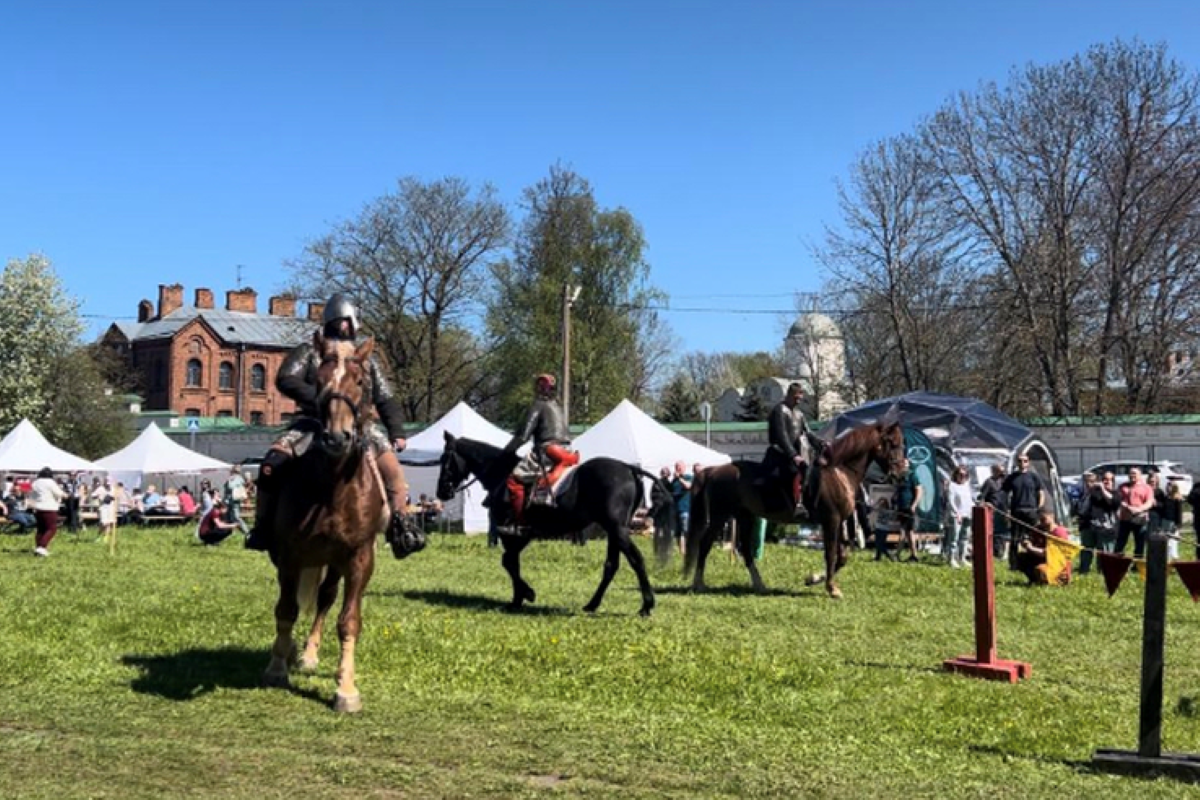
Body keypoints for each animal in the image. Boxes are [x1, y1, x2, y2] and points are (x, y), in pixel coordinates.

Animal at [261, 331, 388, 714]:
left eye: (360, 381)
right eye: (318, 381)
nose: (336, 437)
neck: (333, 488)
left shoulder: (359, 557)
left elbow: (348, 621)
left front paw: (346, 688)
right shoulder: (290, 555)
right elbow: (286, 609)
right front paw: (276, 667)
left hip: (333, 563)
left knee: (325, 599)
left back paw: (309, 654)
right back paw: (291, 652)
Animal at [436, 434, 672, 618]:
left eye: (445, 459)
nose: (441, 492)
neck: (501, 474)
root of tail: (629, 468)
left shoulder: (512, 534)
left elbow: (508, 562)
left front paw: (524, 595)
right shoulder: (522, 536)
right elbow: (512, 562)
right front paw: (519, 597)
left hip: (617, 530)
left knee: (636, 560)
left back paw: (646, 605)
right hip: (614, 531)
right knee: (611, 566)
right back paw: (592, 604)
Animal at [686, 422, 902, 597]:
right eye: (893, 443)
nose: (901, 471)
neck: (839, 472)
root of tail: (712, 470)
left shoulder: (839, 522)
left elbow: (842, 557)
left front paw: (814, 579)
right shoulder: (831, 521)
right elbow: (831, 554)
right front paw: (831, 588)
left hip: (745, 517)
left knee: (746, 550)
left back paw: (759, 585)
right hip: (719, 516)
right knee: (705, 544)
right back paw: (699, 583)